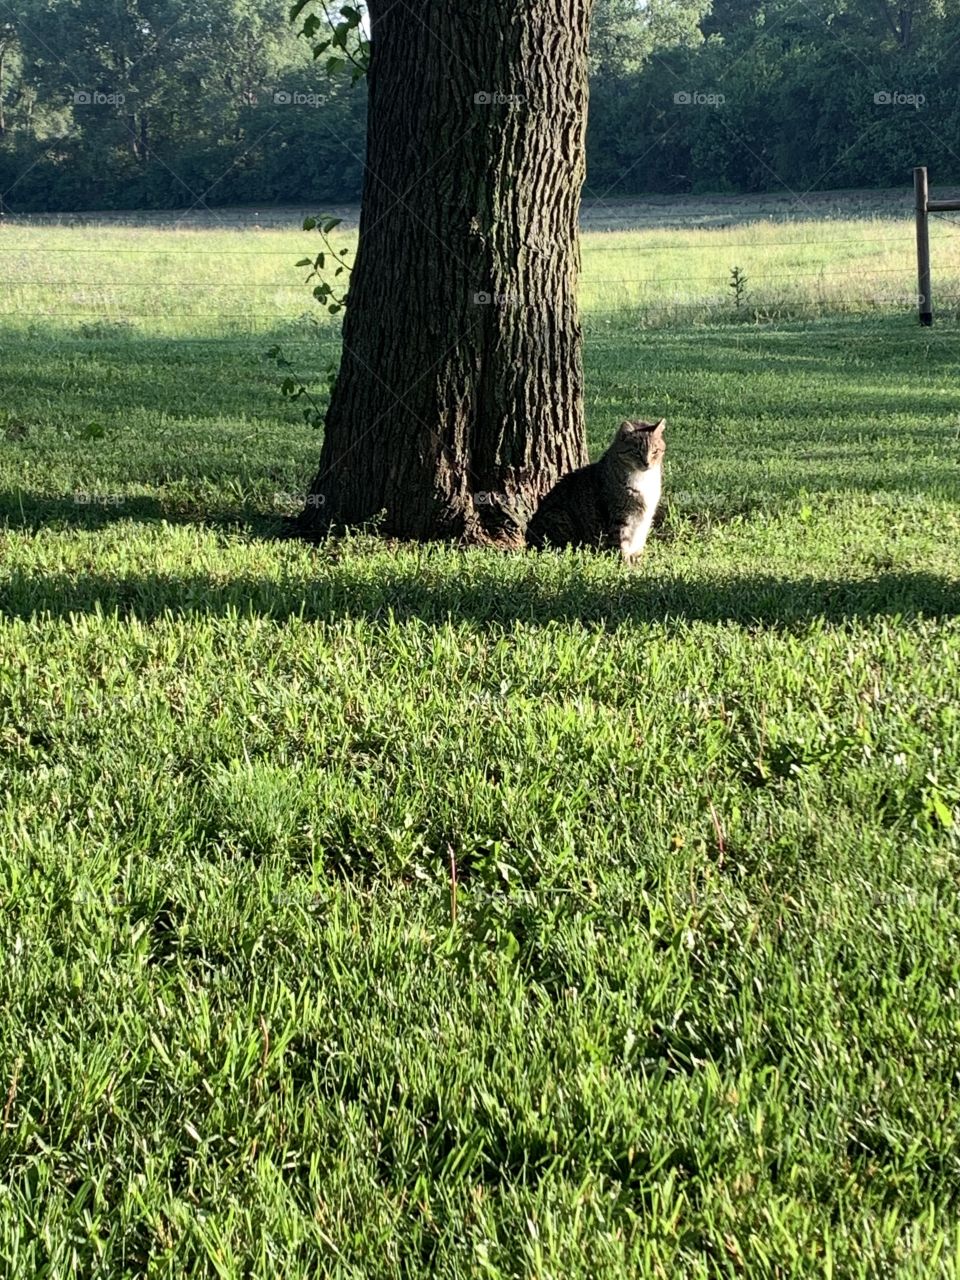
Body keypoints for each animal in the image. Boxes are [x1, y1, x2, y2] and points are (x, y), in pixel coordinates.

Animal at [527, 419, 670, 560]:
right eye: (636, 452)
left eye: (655, 451)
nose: (647, 463)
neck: (643, 478)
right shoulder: (619, 517)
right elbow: (621, 546)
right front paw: (625, 564)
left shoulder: (644, 520)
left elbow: (637, 548)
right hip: (558, 516)